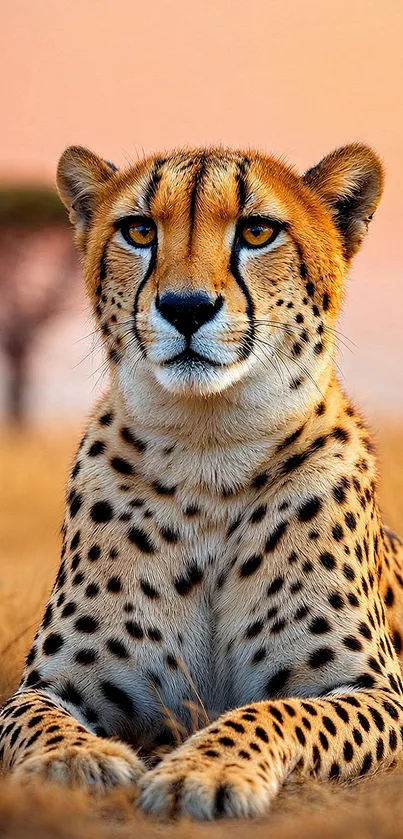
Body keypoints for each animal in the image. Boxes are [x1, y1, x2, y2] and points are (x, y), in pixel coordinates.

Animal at [0, 143, 403, 820]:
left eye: (257, 231)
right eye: (139, 231)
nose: (185, 308)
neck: (208, 453)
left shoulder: (374, 692)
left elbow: (273, 712)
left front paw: (207, 770)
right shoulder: (50, 685)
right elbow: (32, 720)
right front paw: (73, 762)